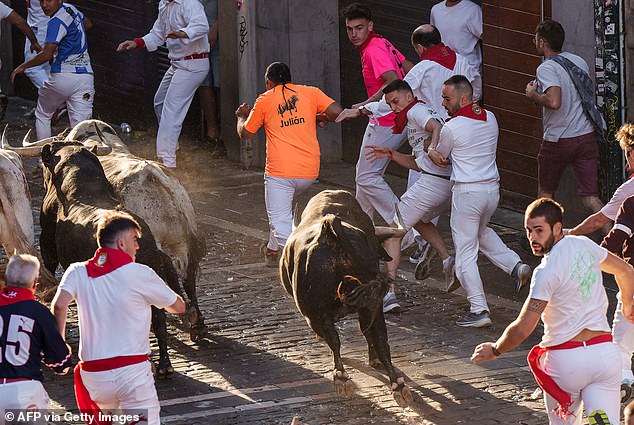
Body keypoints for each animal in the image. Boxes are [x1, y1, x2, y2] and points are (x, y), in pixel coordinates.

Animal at [278, 190, 410, 406]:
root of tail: (329, 230)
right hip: (371, 303)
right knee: (380, 338)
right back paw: (398, 386)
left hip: (316, 312)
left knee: (335, 339)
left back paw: (341, 378)